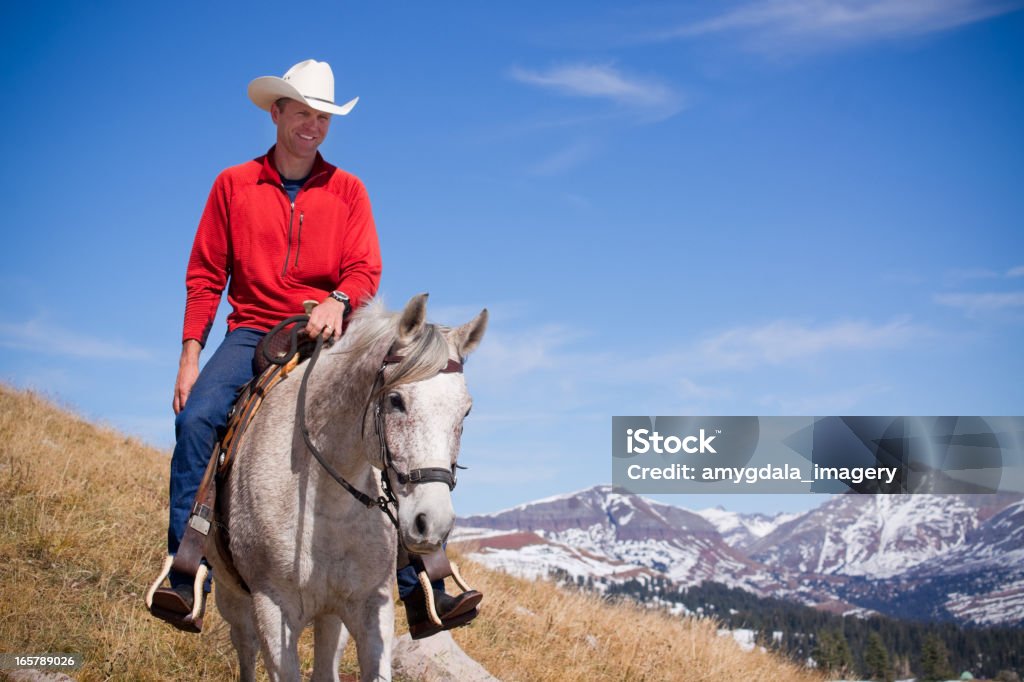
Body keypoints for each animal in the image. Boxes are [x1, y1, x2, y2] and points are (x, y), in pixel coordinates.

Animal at [207, 292, 487, 679]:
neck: (326, 504)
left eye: (466, 411)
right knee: (245, 647)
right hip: (231, 596)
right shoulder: (273, 608)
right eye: (396, 400)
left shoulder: (371, 607)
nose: (432, 524)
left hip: (331, 616)